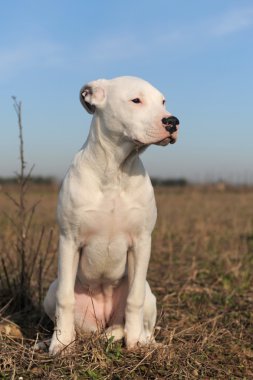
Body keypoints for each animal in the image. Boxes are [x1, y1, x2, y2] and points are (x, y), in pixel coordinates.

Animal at [45, 75, 180, 354]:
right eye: (136, 100)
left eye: (163, 101)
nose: (172, 121)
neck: (116, 170)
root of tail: (103, 321)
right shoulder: (68, 240)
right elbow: (65, 298)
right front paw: (61, 344)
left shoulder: (142, 242)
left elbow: (134, 299)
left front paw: (135, 342)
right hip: (51, 290)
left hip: (149, 293)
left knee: (136, 318)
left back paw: (138, 338)